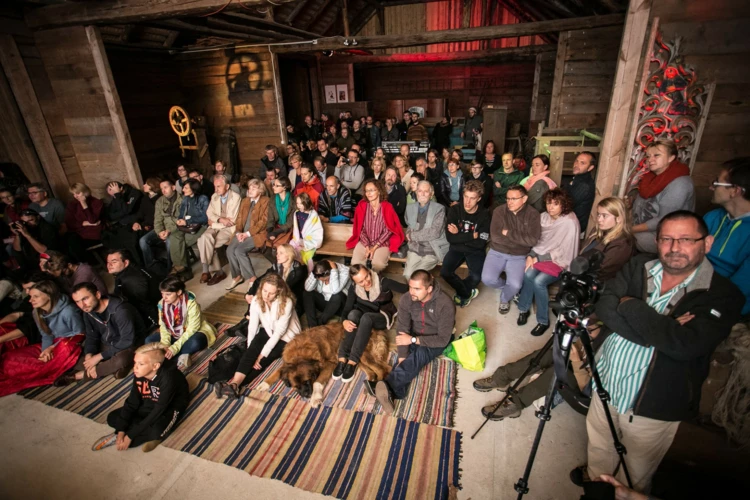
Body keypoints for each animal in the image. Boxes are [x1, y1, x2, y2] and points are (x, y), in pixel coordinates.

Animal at [256, 322, 390, 408]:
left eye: (307, 382)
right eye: (296, 386)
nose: (306, 395)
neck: (300, 354)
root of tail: (376, 330)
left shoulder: (330, 365)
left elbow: (317, 382)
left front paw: (315, 398)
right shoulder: (286, 363)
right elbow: (276, 372)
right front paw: (263, 384)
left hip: (361, 354)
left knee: (382, 369)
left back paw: (377, 388)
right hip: (357, 359)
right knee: (372, 371)